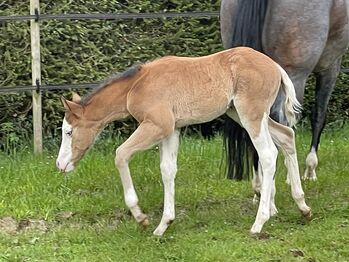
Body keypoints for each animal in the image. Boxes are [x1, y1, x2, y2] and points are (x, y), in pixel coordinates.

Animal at [55, 47, 312, 235]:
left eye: (68, 132)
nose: (60, 165)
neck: (136, 86)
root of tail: (275, 66)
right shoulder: (172, 130)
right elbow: (167, 169)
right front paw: (163, 225)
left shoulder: (158, 125)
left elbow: (121, 154)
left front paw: (141, 217)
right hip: (241, 113)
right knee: (287, 137)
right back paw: (303, 206)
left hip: (251, 114)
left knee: (268, 154)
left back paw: (259, 222)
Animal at [220, 0, 348, 182]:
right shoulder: (330, 67)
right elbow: (319, 116)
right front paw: (310, 170)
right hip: (295, 76)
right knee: (283, 121)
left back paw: (258, 179)